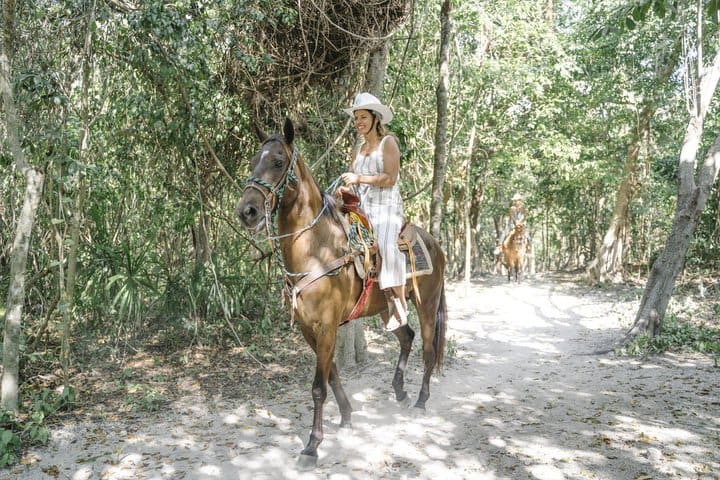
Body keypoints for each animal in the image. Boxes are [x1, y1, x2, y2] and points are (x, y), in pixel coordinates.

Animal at [236, 118, 444, 466]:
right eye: (253, 162)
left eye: (277, 161)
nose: (247, 211)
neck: (316, 250)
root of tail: (434, 243)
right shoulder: (309, 328)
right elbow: (331, 374)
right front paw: (346, 415)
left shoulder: (326, 326)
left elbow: (318, 386)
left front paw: (312, 444)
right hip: (389, 309)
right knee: (407, 337)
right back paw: (400, 391)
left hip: (427, 304)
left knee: (428, 349)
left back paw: (421, 400)